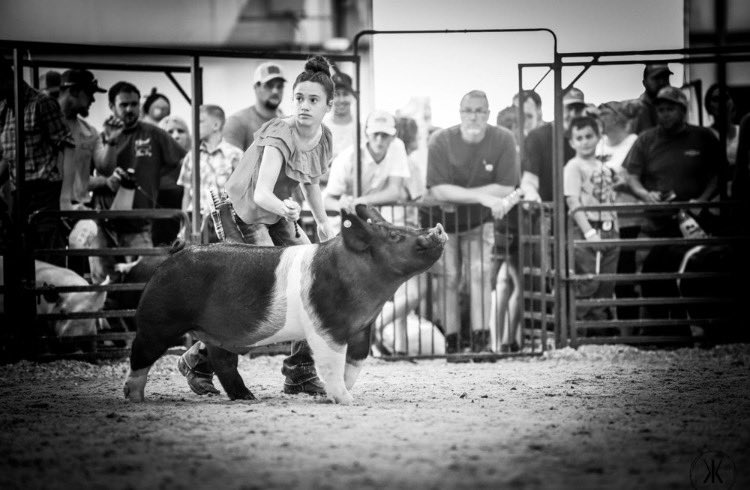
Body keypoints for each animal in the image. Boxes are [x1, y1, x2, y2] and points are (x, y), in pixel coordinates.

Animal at [124, 205, 446, 404]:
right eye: (395, 235)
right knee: (140, 354)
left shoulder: (361, 328)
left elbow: (354, 363)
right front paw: (345, 400)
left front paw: (335, 393)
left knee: (222, 360)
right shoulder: (325, 327)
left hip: (216, 331)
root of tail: (174, 254)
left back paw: (248, 398)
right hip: (158, 321)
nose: (438, 229)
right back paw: (135, 398)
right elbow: (331, 363)